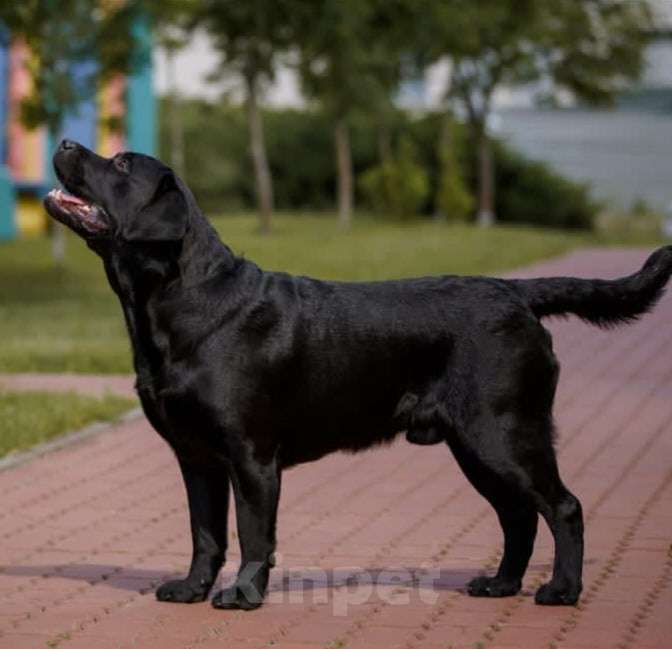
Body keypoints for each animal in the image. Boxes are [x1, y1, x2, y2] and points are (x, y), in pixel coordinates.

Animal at [44, 139, 668, 612]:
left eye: (122, 165)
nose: (67, 141)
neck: (176, 302)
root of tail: (516, 291)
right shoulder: (196, 457)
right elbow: (206, 533)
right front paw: (191, 589)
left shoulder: (252, 455)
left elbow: (252, 533)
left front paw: (243, 596)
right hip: (476, 446)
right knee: (518, 515)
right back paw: (500, 584)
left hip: (505, 432)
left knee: (563, 507)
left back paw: (561, 590)